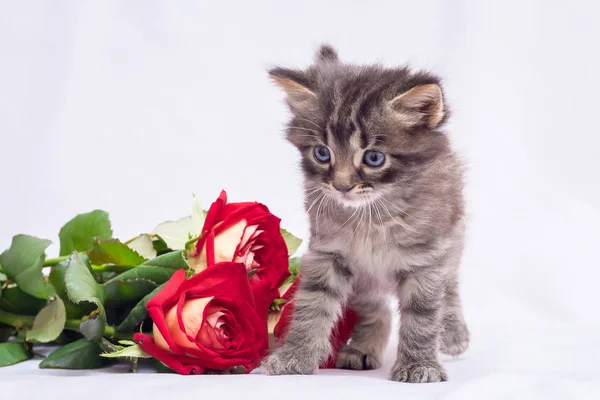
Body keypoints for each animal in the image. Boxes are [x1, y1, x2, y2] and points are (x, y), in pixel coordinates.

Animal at [266, 45, 468, 382]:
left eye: (374, 158)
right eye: (322, 153)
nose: (341, 187)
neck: (371, 216)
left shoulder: (425, 259)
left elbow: (423, 315)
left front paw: (419, 365)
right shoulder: (329, 251)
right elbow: (313, 304)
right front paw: (295, 355)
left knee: (450, 285)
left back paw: (453, 332)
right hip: (365, 280)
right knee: (376, 308)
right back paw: (362, 348)